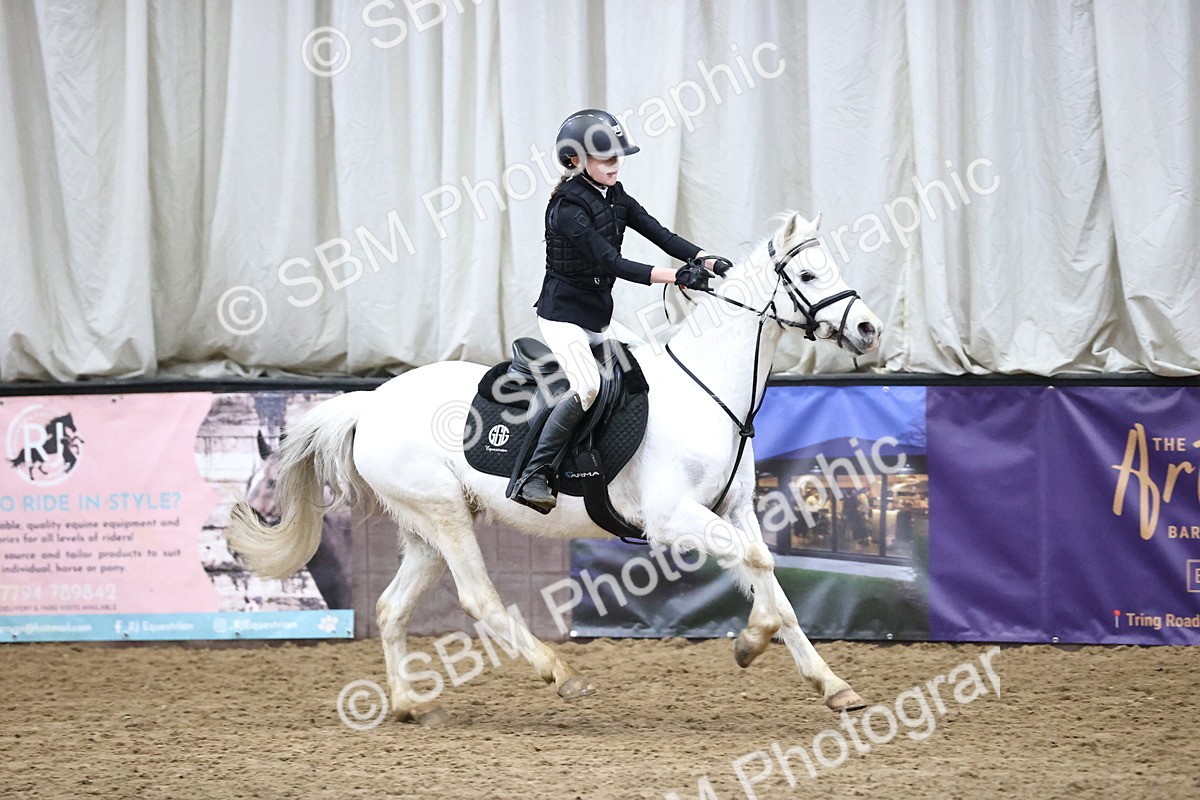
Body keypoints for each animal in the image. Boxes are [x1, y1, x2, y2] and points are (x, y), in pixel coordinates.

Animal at [226, 211, 882, 722]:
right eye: (807, 275)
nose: (869, 328)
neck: (709, 390)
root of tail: (370, 402)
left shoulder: (733, 509)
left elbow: (772, 580)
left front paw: (832, 686)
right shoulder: (673, 517)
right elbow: (758, 566)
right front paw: (750, 641)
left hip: (426, 528)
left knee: (391, 607)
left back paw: (409, 705)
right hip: (443, 515)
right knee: (479, 599)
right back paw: (559, 673)